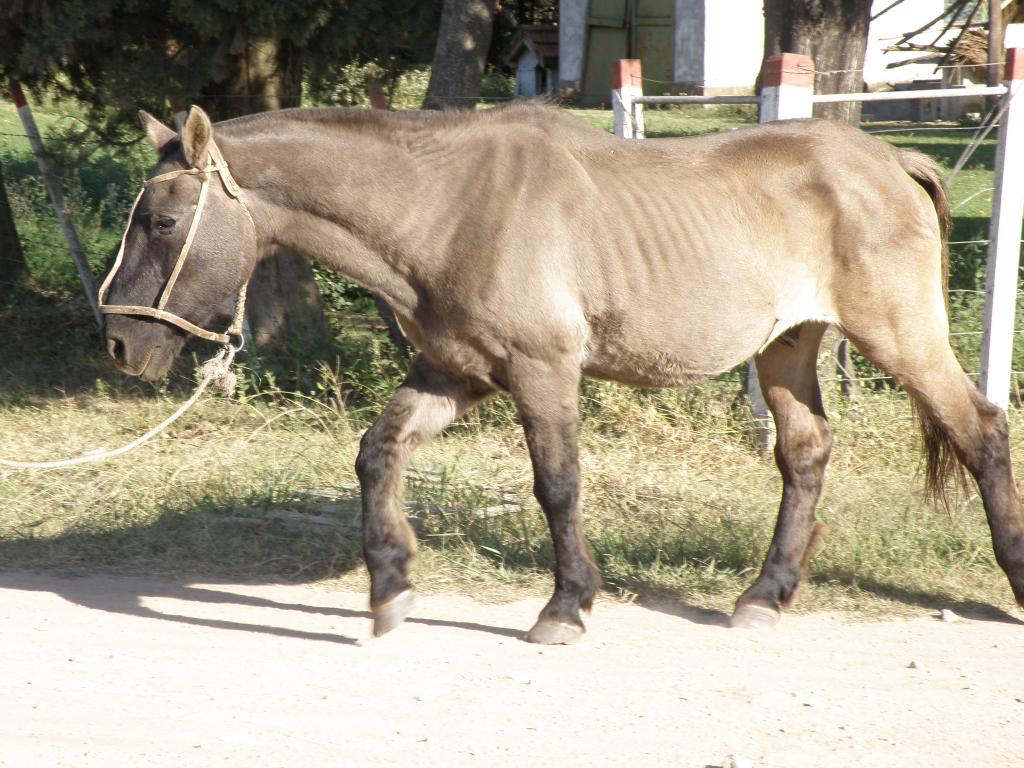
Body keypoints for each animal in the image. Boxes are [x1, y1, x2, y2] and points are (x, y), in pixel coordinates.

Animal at [101, 103, 1024, 643]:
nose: (118, 342)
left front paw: (566, 605)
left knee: (981, 430)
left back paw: (1010, 579)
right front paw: (390, 584)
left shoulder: (542, 372)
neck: (447, 204)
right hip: (788, 347)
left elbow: (558, 485)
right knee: (806, 457)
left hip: (897, 336)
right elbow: (377, 453)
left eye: (164, 221)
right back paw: (766, 595)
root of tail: (893, 159)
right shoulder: (455, 372)